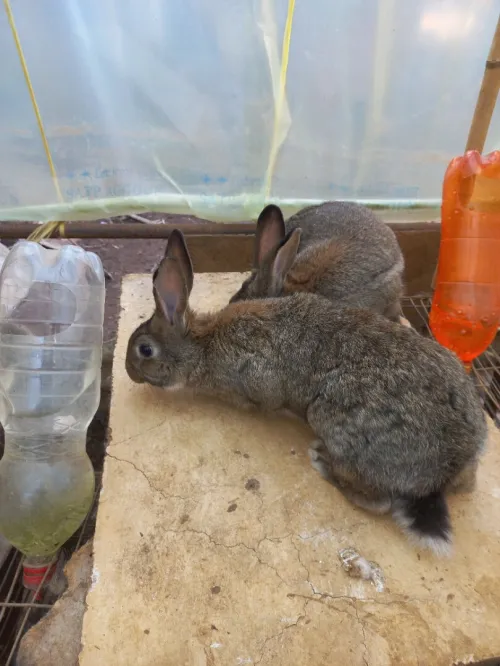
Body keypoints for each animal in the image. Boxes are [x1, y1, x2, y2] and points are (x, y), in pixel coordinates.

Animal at [126, 230, 487, 556]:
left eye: (145, 350)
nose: (129, 372)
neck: (203, 344)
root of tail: (450, 464)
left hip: (334, 420)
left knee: (378, 500)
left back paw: (323, 462)